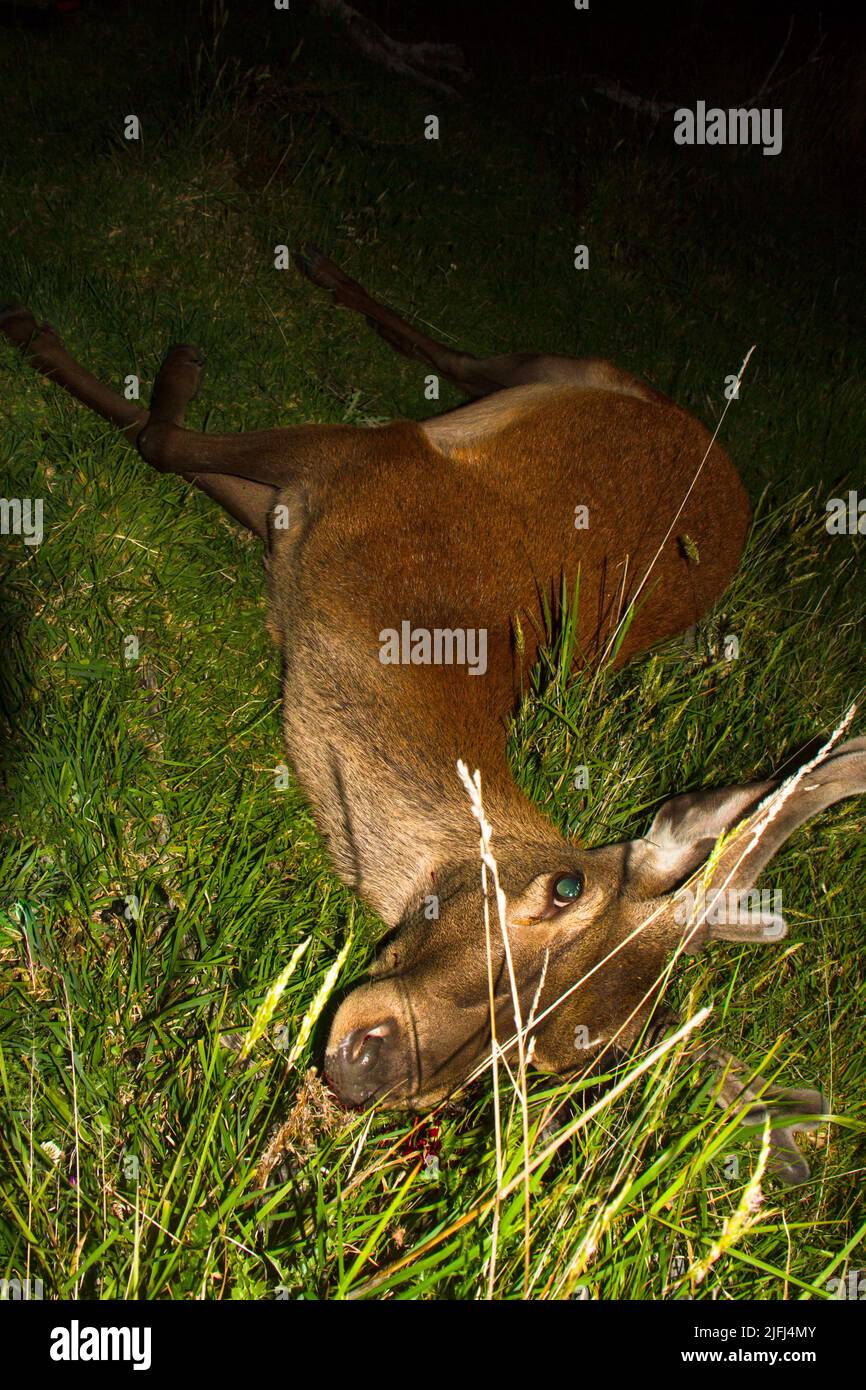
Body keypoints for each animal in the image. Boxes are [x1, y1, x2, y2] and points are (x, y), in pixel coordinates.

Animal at [3, 252, 861, 1184]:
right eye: (566, 888)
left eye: (557, 1059)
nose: (371, 1063)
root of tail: (732, 473)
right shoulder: (375, 454)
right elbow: (158, 442)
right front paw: (91, 348)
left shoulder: (303, 510)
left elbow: (161, 447)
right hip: (560, 367)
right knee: (455, 354)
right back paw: (319, 277)